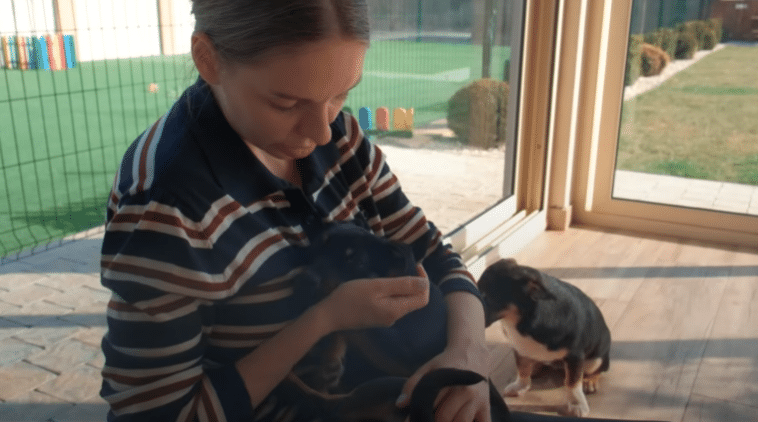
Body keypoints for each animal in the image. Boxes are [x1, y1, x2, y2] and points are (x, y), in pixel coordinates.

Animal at [477, 258, 611, 417]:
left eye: (486, 297)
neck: (519, 321)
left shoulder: (575, 356)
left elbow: (572, 382)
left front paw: (576, 403)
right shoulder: (518, 348)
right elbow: (522, 369)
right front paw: (520, 386)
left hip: (596, 360)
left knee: (599, 369)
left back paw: (590, 380)